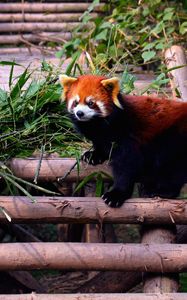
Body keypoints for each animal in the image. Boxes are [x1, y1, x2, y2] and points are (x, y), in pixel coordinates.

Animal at [60, 74, 187, 207]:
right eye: (75, 102)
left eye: (90, 103)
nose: (79, 113)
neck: (99, 125)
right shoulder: (100, 136)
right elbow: (101, 146)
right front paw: (94, 155)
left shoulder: (127, 134)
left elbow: (126, 164)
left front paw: (116, 194)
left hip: (174, 137)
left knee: (172, 168)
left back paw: (162, 191)